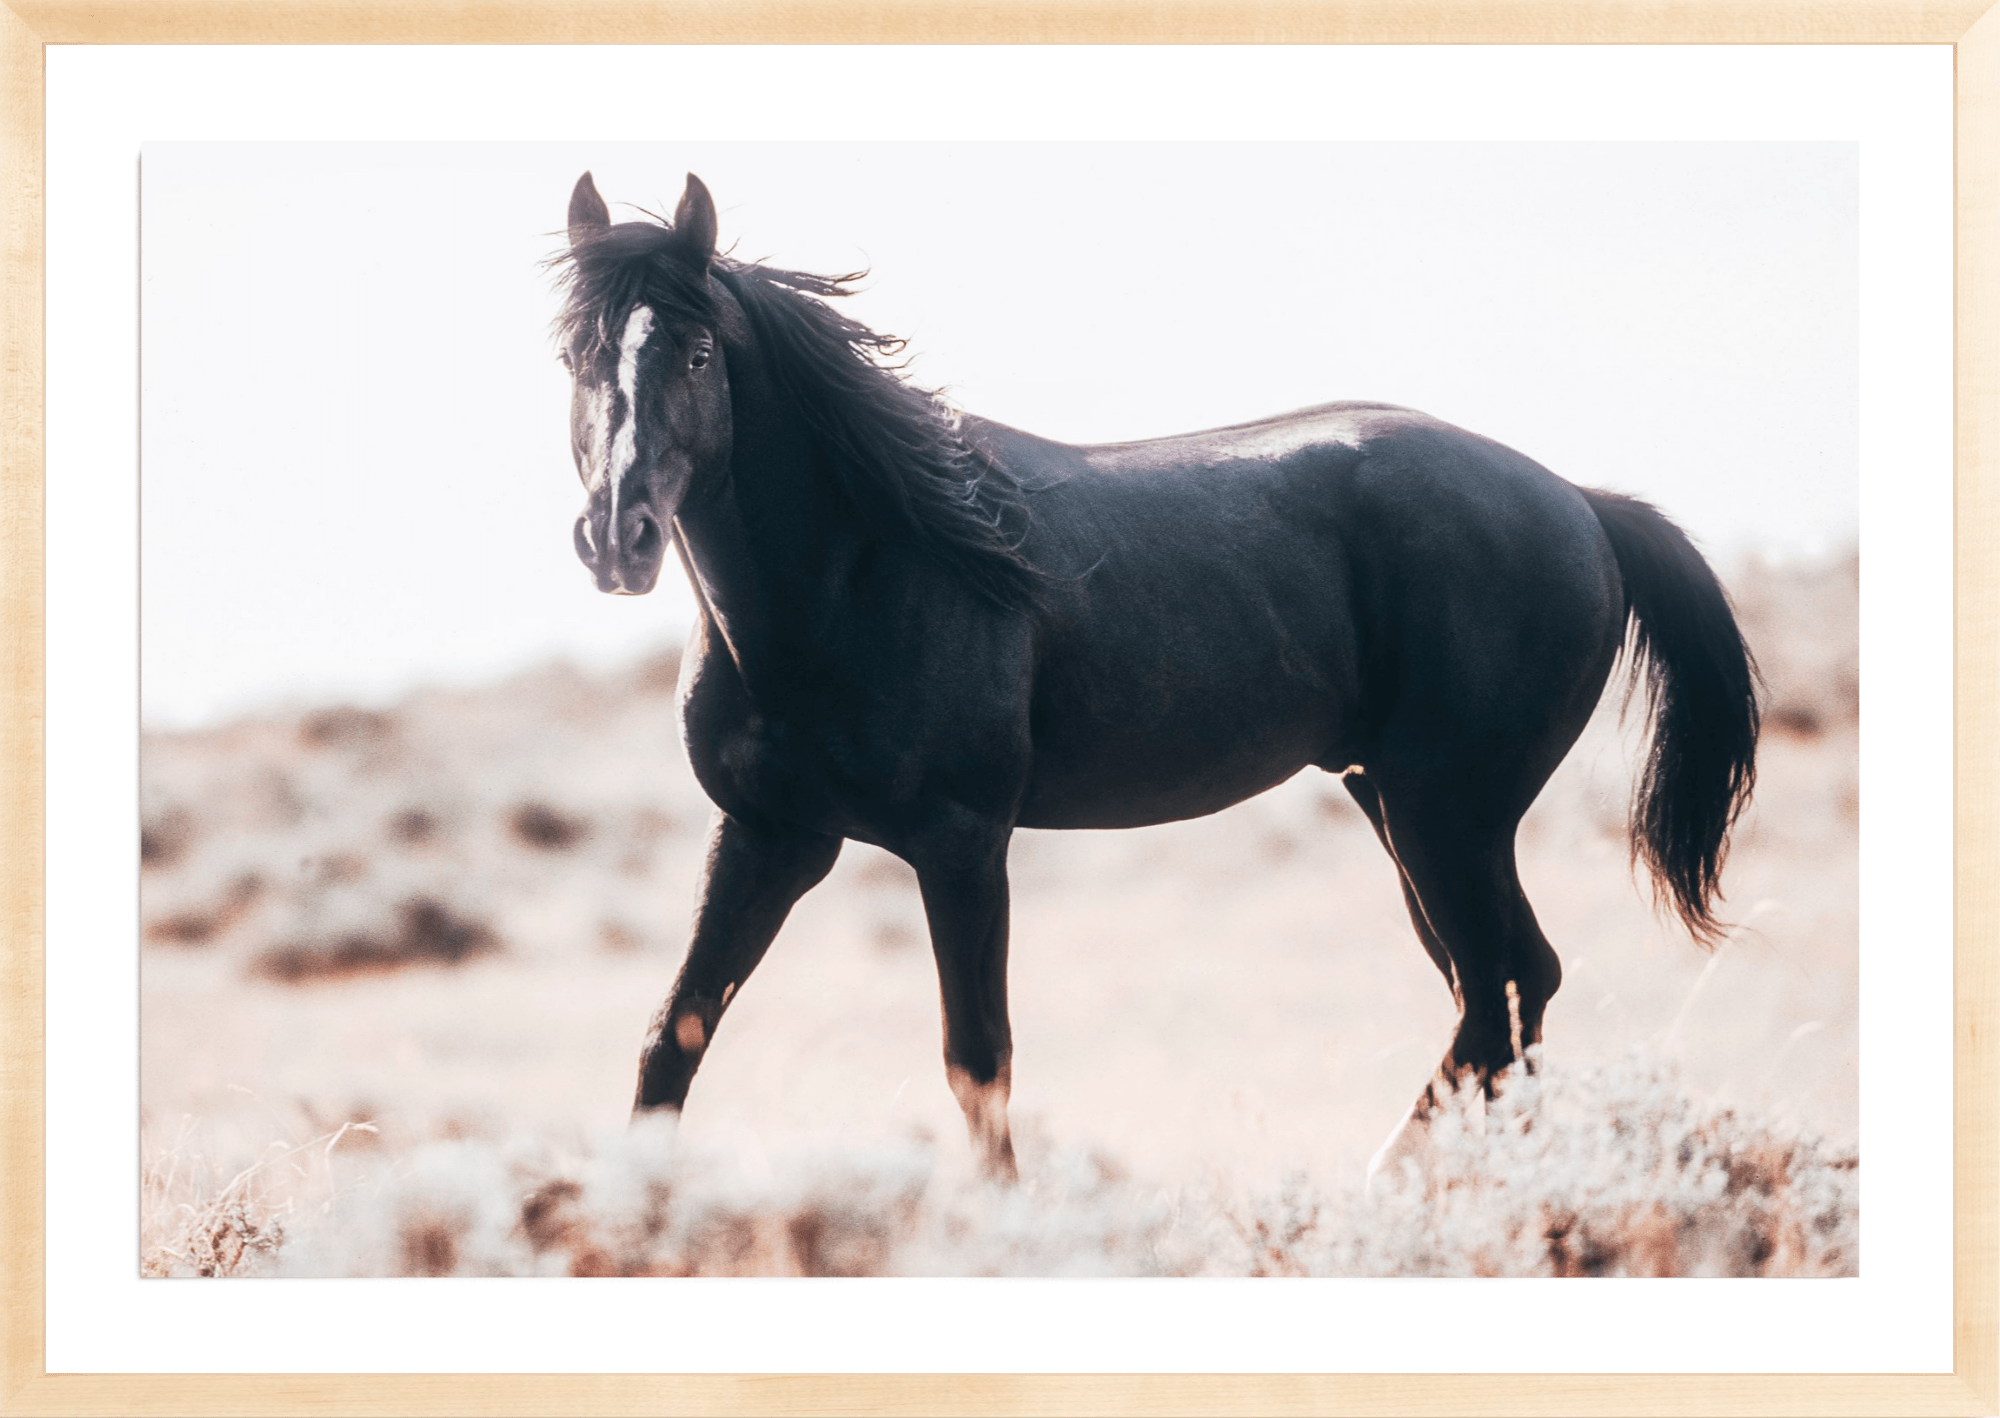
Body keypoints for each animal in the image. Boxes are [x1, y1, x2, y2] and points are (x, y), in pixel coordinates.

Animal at [550, 171, 1760, 1182]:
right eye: (575, 358)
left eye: (696, 355)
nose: (618, 538)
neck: (861, 567)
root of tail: (1580, 502)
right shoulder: (769, 836)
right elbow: (672, 1039)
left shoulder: (960, 841)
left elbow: (976, 1058)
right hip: (1399, 806)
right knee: (1498, 997)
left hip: (1446, 815)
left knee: (1504, 992)